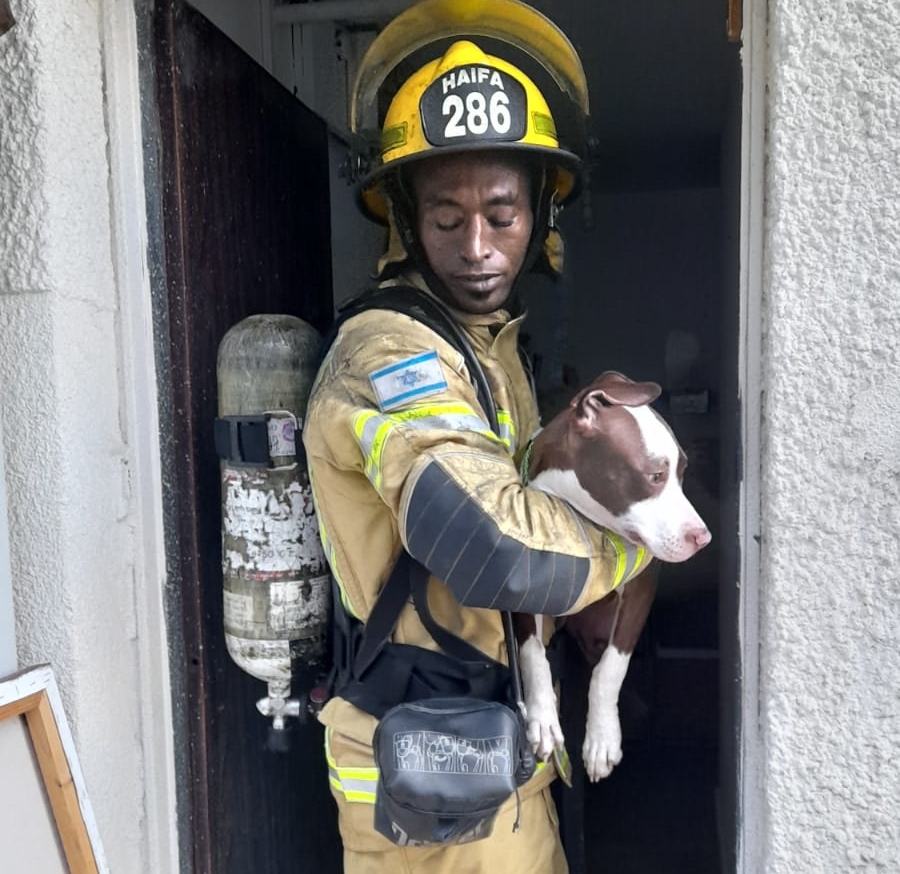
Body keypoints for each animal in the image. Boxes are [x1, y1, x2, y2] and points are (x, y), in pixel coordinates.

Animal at [516, 372, 712, 780]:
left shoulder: (640, 588)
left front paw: (603, 739)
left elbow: (611, 668)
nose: (703, 538)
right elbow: (532, 650)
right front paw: (543, 717)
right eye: (655, 475)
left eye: (682, 472)